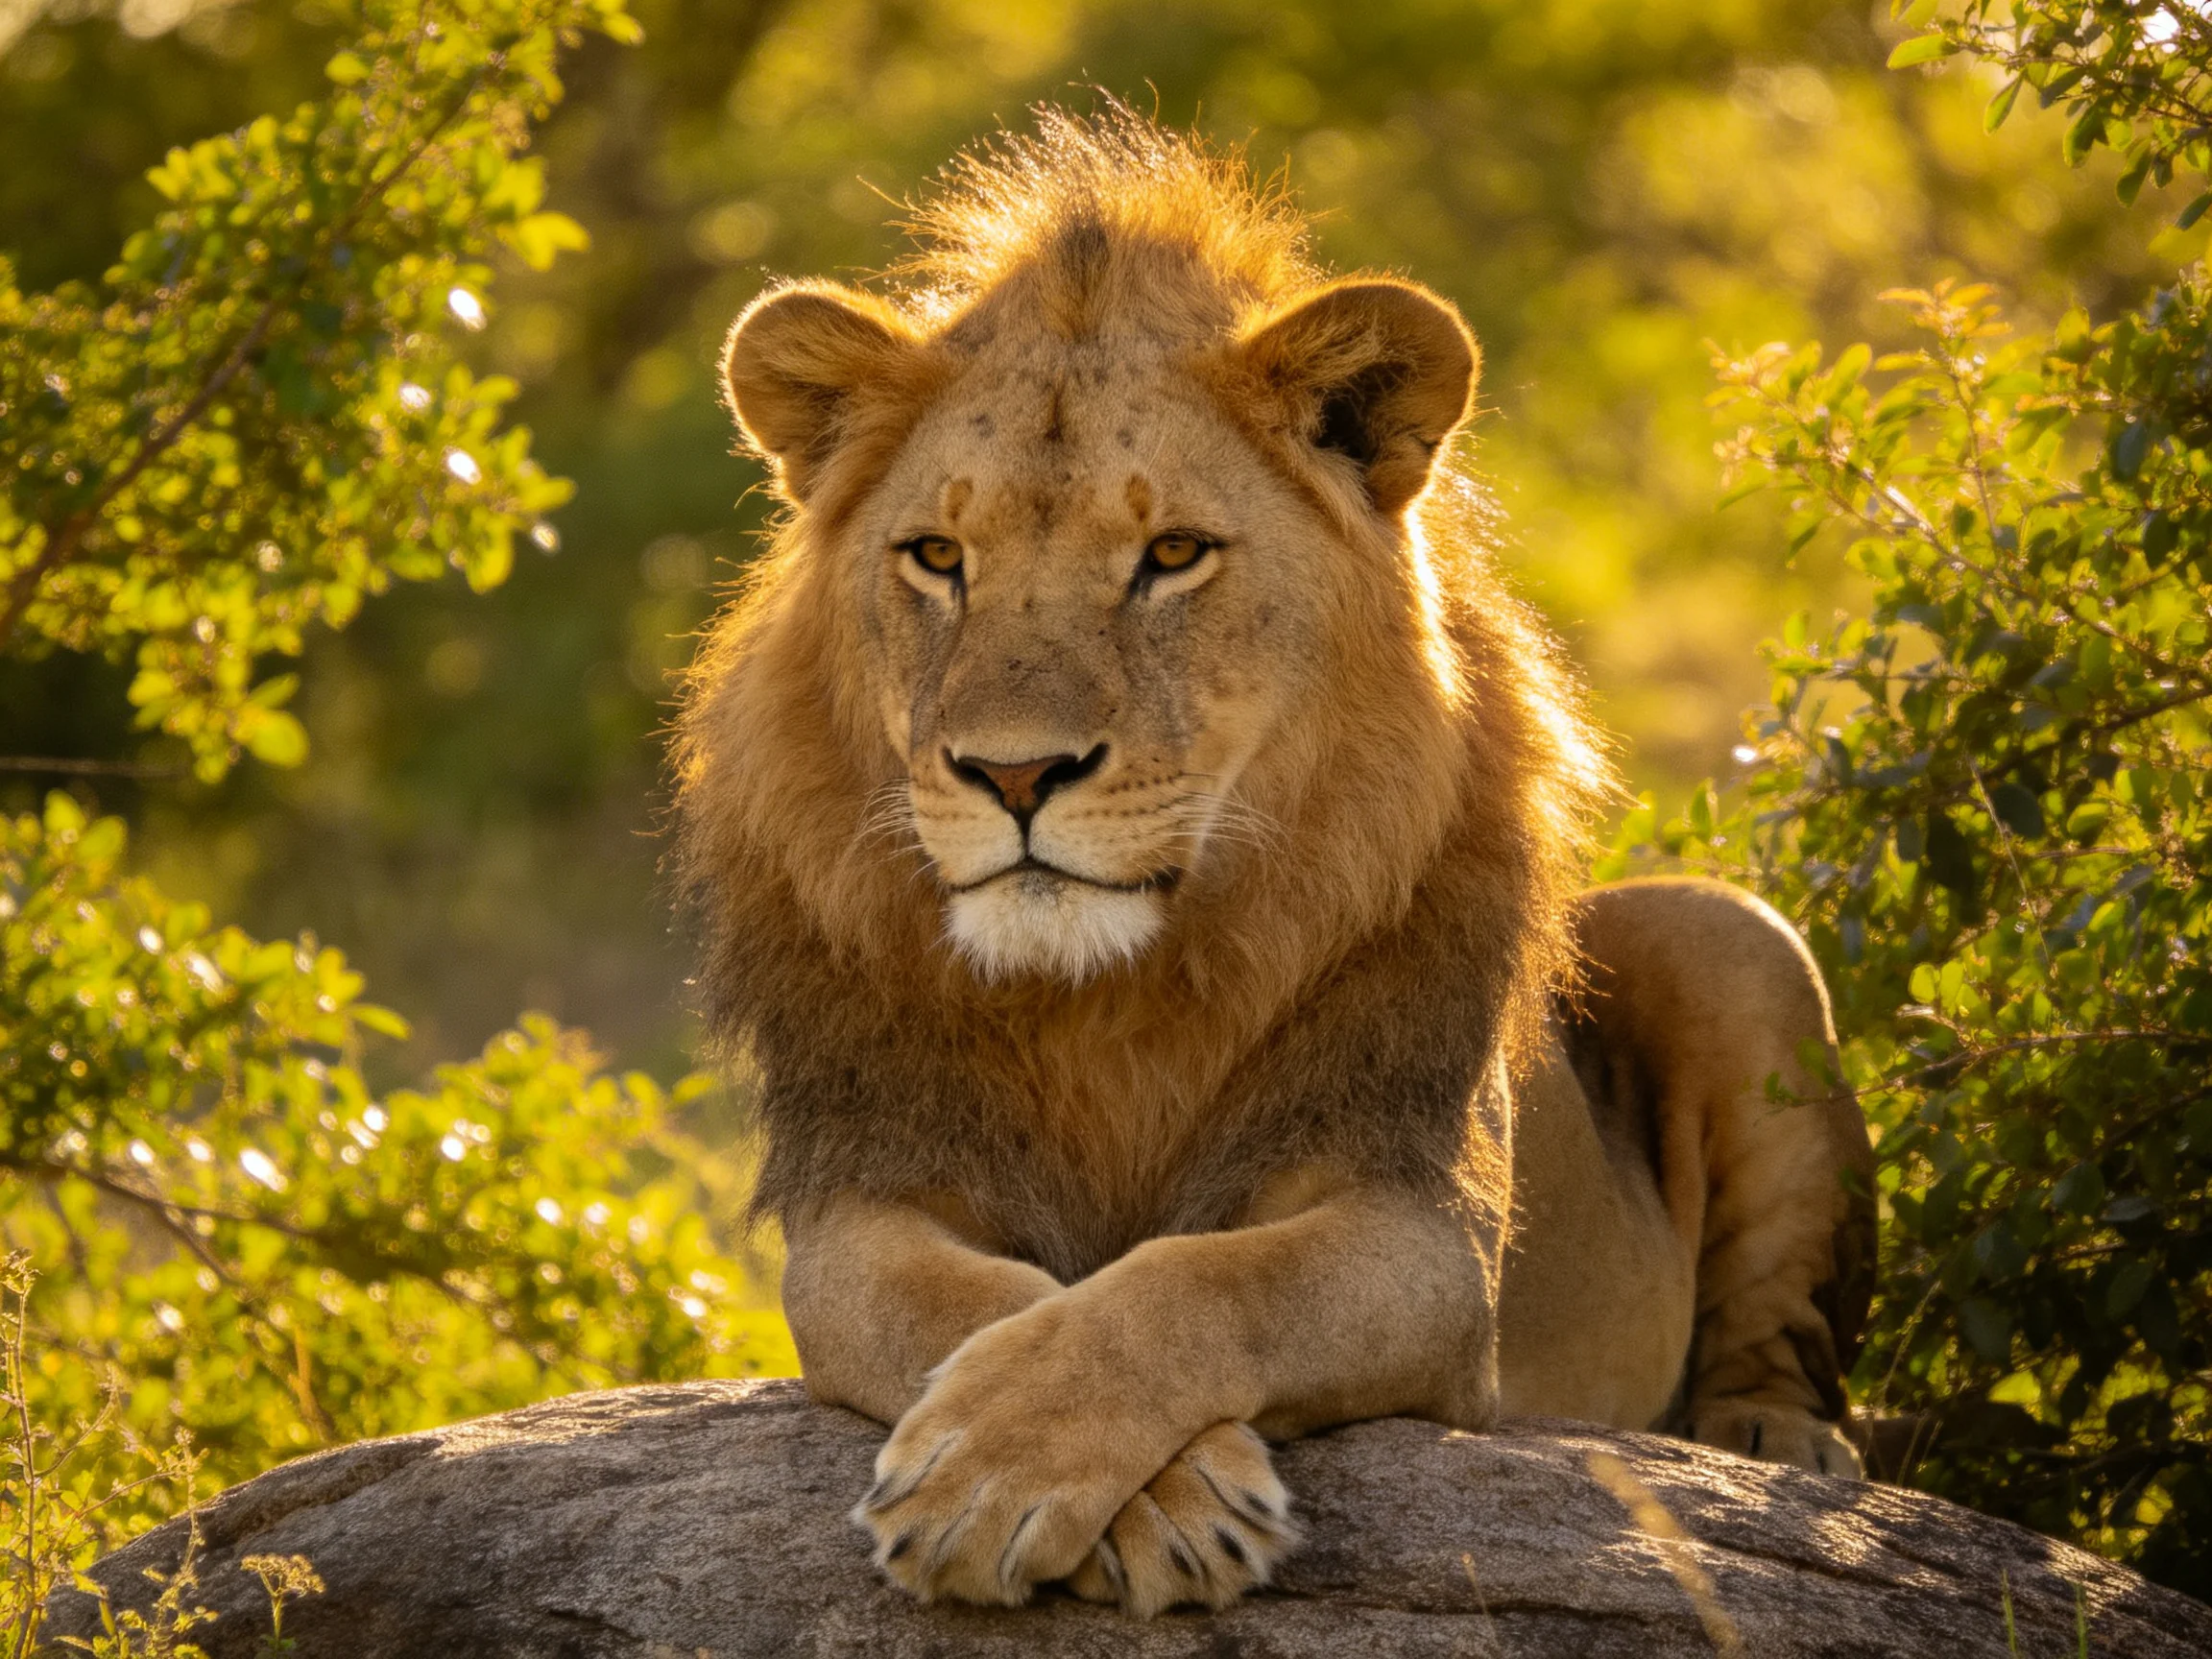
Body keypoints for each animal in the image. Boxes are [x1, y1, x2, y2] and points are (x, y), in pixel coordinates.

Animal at [673, 108, 1876, 1619]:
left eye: (1173, 554)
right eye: (937, 555)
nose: (1014, 775)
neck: (1106, 999)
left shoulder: (1420, 1230)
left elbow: (1201, 1280)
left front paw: (1004, 1470)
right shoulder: (863, 1196)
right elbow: (966, 1304)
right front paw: (1110, 1481)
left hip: (1733, 937)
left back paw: (1773, 1443)